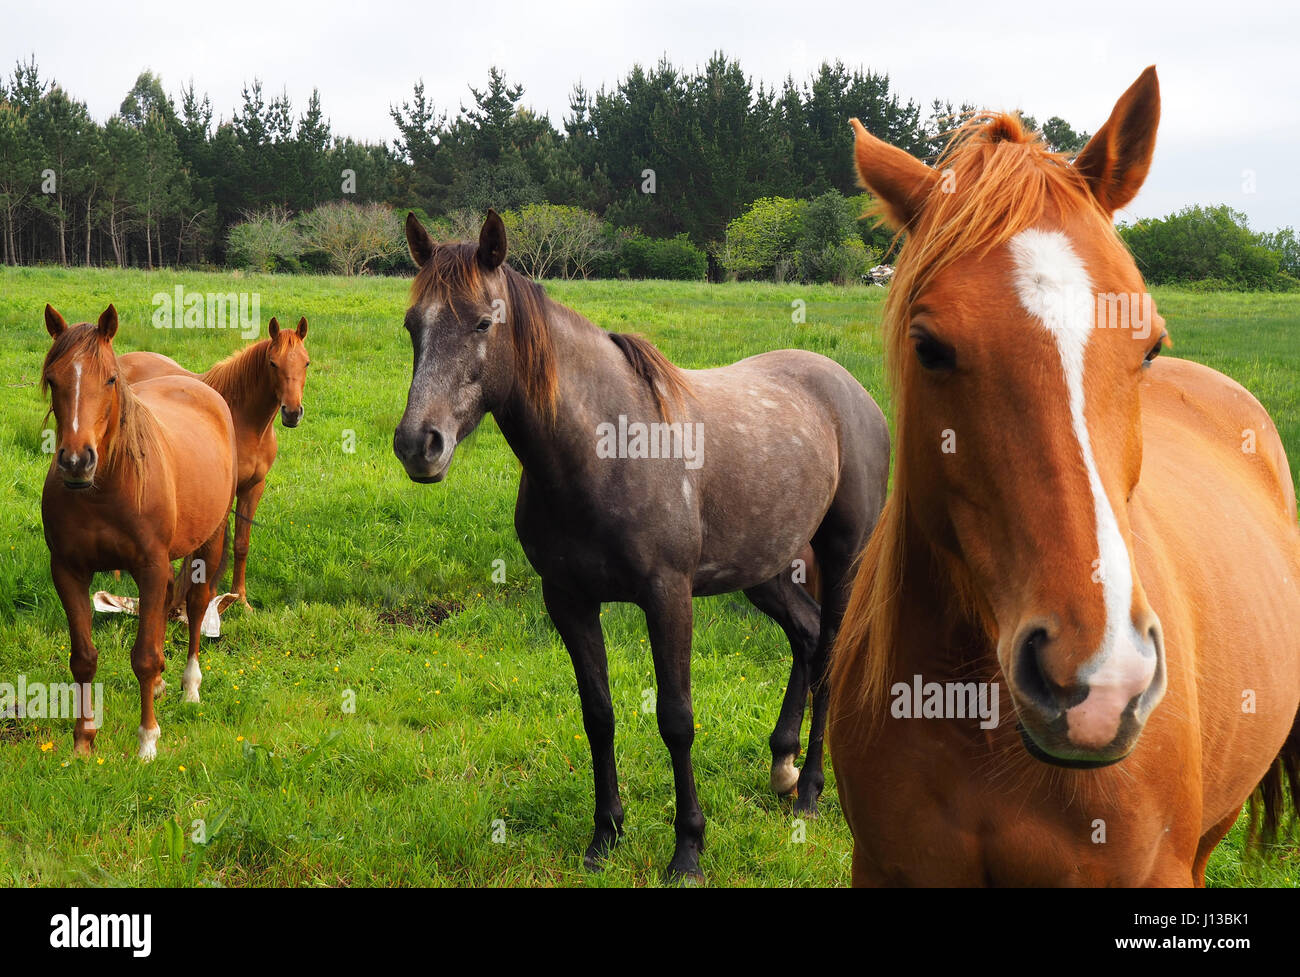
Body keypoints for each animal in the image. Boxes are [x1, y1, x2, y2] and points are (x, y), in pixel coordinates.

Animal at [40, 305, 237, 759]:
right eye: (53, 379)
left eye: (111, 378)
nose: (76, 461)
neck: (104, 490)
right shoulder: (68, 572)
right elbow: (83, 658)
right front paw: (83, 741)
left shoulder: (148, 565)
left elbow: (143, 657)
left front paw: (147, 741)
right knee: (167, 599)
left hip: (211, 540)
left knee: (196, 606)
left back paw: (189, 688)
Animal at [118, 317, 310, 607]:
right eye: (273, 363)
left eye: (306, 362)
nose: (292, 413)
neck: (244, 420)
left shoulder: (253, 488)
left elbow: (241, 544)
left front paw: (240, 599)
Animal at [393, 211, 890, 880]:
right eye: (412, 325)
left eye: (482, 322)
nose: (419, 444)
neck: (605, 450)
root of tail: (851, 392)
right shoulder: (568, 600)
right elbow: (597, 714)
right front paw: (605, 835)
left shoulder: (667, 596)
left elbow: (676, 720)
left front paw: (688, 851)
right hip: (765, 570)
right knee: (807, 638)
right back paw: (781, 766)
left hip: (842, 558)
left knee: (831, 652)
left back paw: (809, 791)